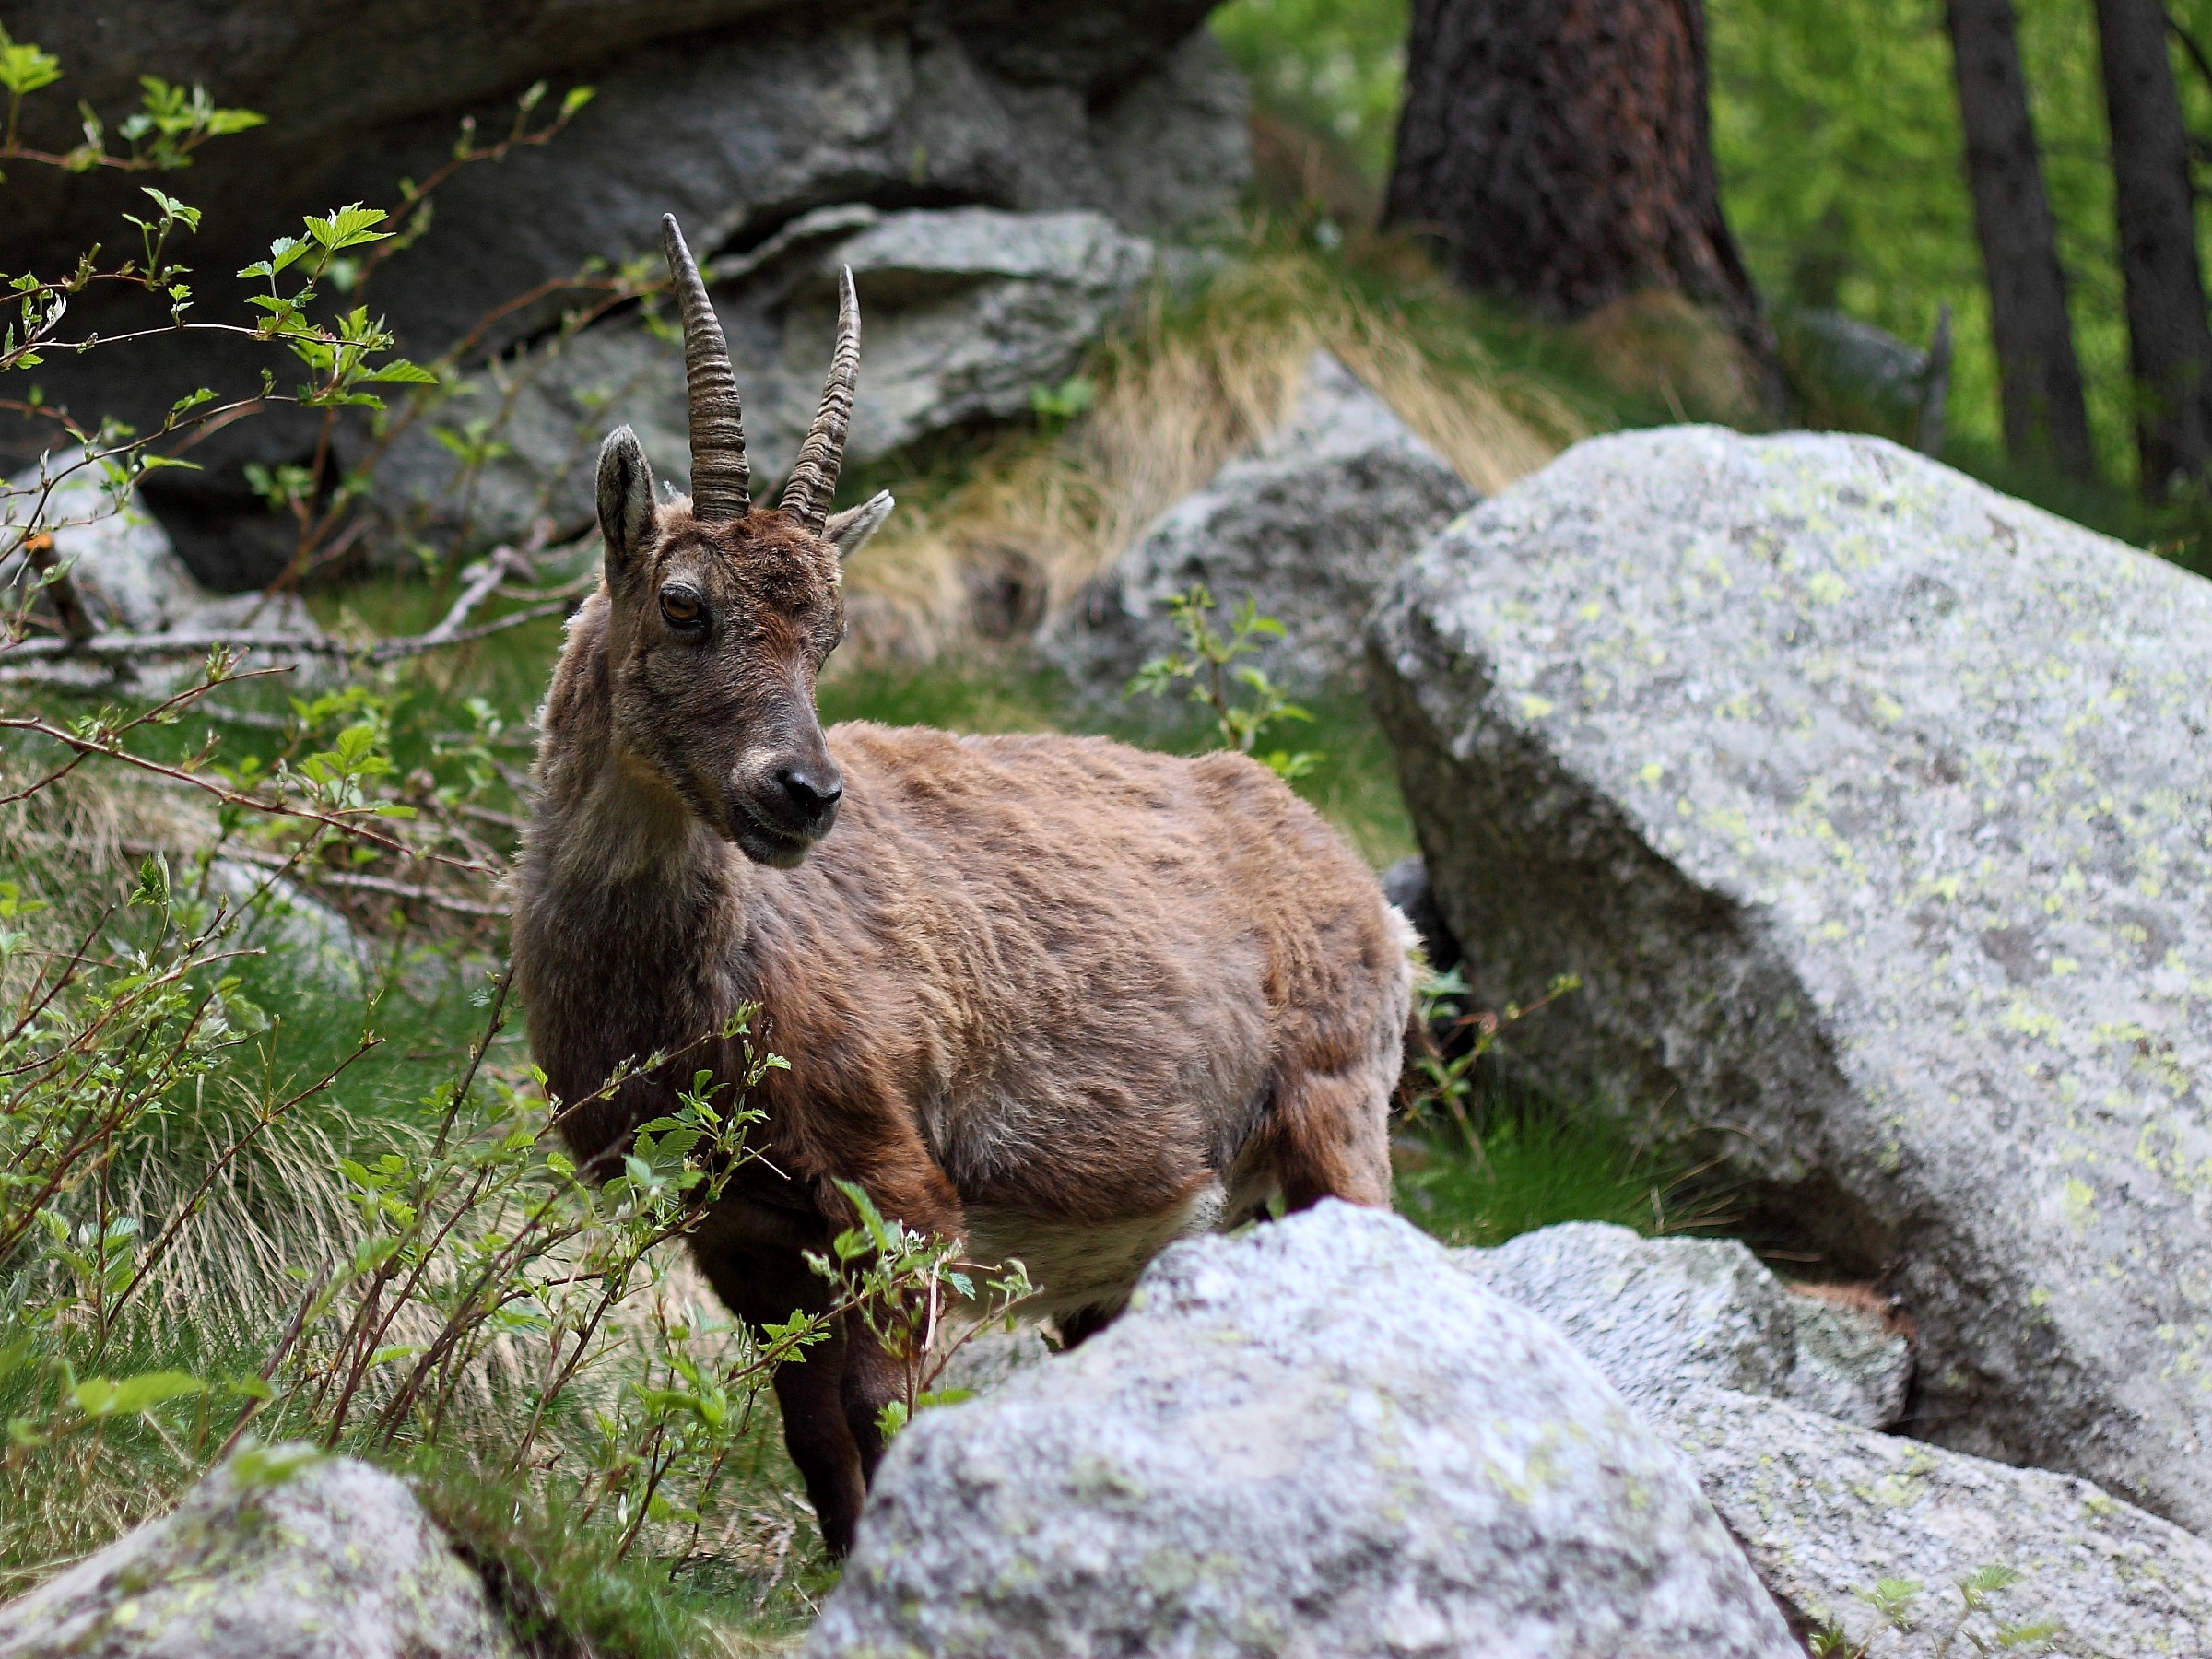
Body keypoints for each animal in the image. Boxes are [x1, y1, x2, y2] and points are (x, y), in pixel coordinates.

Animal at [510, 215, 1417, 1558]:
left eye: (828, 635)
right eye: (682, 603)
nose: (802, 793)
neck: (704, 983)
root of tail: (1363, 888)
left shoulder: (900, 1194)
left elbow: (884, 1414)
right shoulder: (746, 1239)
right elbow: (814, 1436)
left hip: (1335, 1119)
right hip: (1134, 1261)